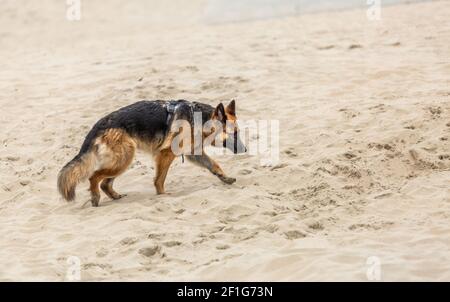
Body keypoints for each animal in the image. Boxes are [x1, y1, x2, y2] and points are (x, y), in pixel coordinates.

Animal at [57, 100, 246, 206]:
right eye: (234, 133)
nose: (245, 150)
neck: (199, 119)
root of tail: (99, 125)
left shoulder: (194, 153)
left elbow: (214, 165)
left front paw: (225, 178)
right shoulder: (166, 154)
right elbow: (159, 179)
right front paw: (162, 195)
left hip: (122, 161)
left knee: (104, 182)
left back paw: (114, 196)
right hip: (124, 160)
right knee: (94, 176)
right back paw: (95, 197)